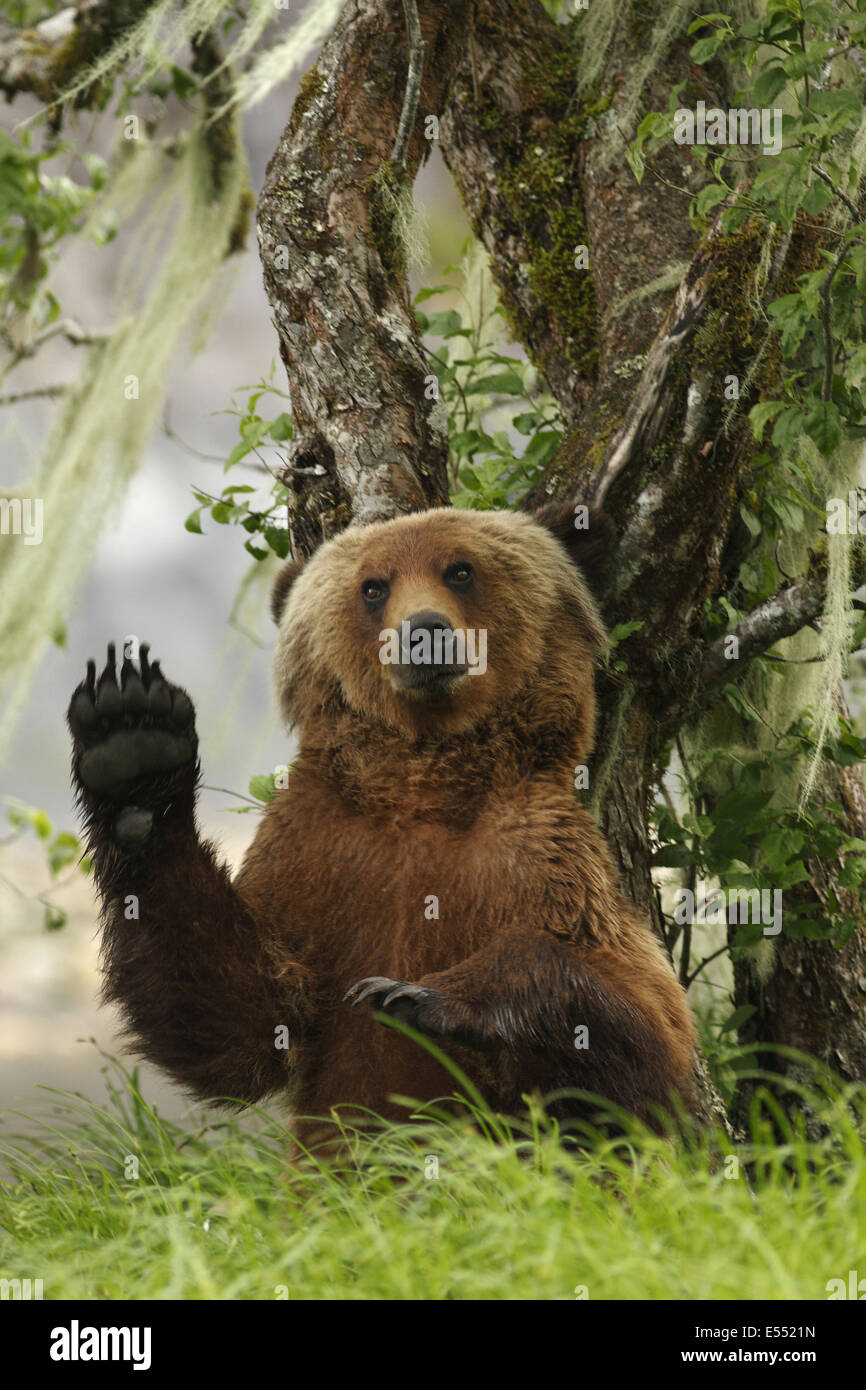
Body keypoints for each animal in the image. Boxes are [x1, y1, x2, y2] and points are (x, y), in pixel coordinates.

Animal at [71, 505, 700, 1145]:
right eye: (373, 587)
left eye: (460, 570)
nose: (425, 631)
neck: (423, 788)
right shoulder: (316, 848)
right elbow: (247, 1018)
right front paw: (134, 745)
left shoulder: (539, 853)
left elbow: (649, 1037)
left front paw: (418, 994)